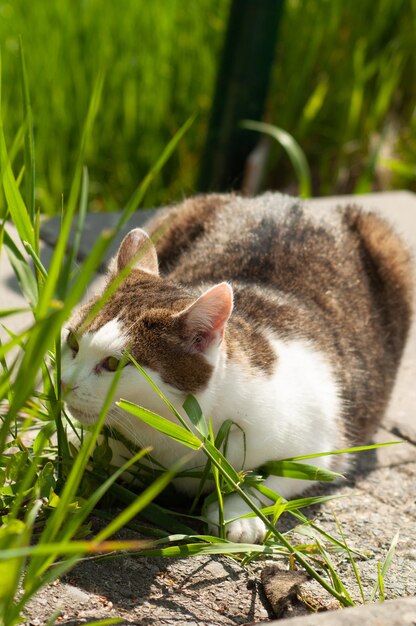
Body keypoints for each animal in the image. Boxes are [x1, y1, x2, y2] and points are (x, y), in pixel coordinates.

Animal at [61, 191, 412, 540]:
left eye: (113, 363)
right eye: (73, 342)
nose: (64, 383)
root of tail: (291, 199)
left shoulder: (324, 449)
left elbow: (273, 478)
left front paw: (239, 514)